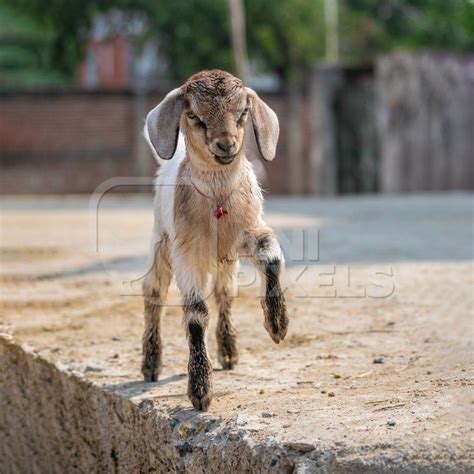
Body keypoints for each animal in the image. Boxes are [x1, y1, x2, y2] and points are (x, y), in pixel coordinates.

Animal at [142, 68, 288, 410]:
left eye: (243, 112)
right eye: (193, 115)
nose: (226, 145)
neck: (217, 202)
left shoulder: (248, 233)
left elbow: (272, 257)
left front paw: (278, 325)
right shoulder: (187, 253)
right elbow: (196, 314)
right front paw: (200, 389)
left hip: (226, 261)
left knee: (225, 294)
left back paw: (229, 351)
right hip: (161, 242)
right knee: (153, 292)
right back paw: (151, 363)